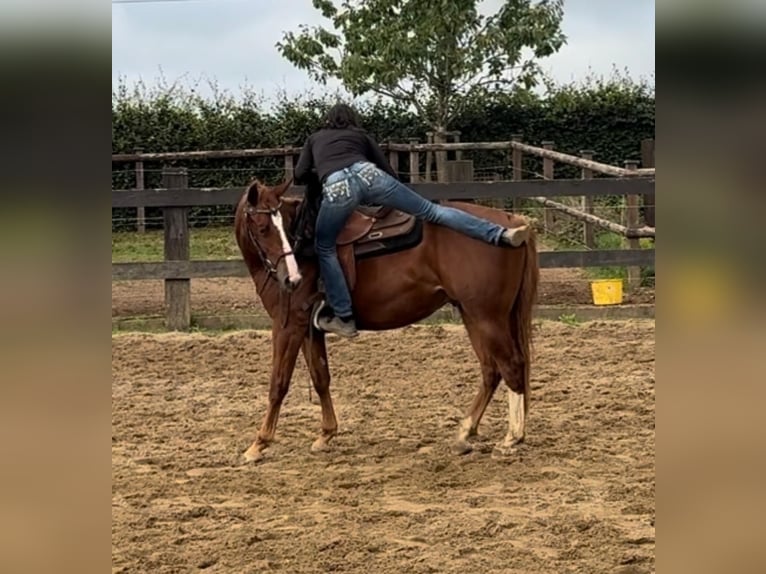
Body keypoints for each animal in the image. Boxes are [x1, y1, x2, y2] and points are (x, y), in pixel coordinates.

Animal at [233, 174, 539, 462]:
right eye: (263, 228)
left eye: (281, 227)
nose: (292, 279)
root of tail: (512, 223)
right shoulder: (309, 328)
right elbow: (321, 378)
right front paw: (326, 435)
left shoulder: (287, 327)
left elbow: (279, 383)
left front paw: (258, 444)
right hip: (474, 315)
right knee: (491, 370)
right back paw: (466, 431)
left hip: (488, 317)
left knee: (511, 365)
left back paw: (512, 438)